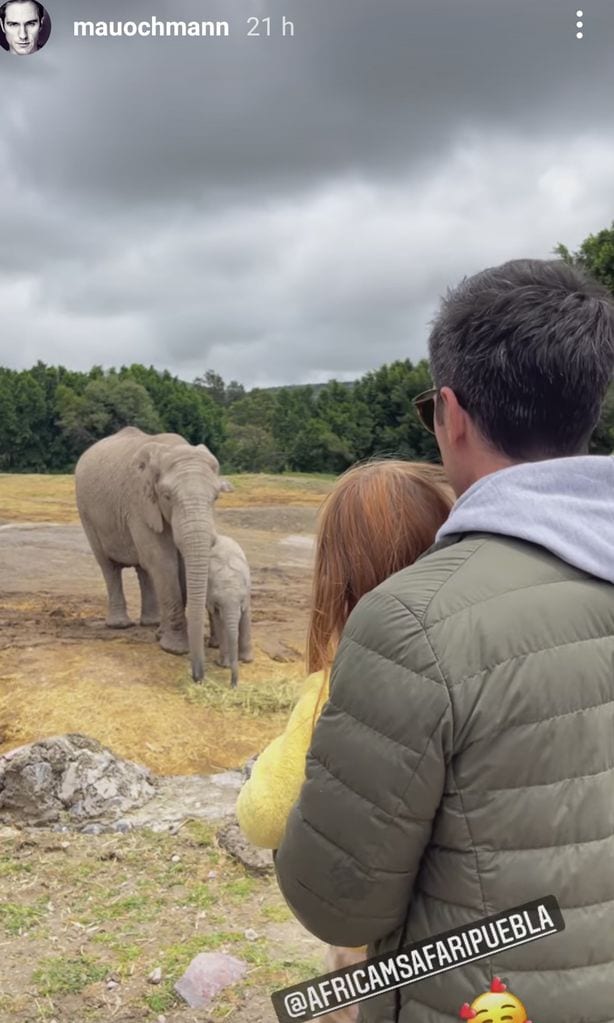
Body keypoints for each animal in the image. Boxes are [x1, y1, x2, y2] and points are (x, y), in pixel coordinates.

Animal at [74, 427, 231, 683]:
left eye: (216, 497)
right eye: (167, 496)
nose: (198, 677)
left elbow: (177, 566)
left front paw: (161, 635)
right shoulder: (139, 503)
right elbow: (163, 562)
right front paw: (174, 648)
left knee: (143, 569)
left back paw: (151, 623)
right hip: (86, 512)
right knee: (109, 566)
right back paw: (119, 625)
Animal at [207, 536, 252, 687]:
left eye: (240, 601)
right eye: (219, 604)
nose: (233, 685)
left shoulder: (247, 595)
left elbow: (245, 618)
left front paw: (247, 660)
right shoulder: (212, 598)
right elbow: (219, 622)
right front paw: (223, 665)